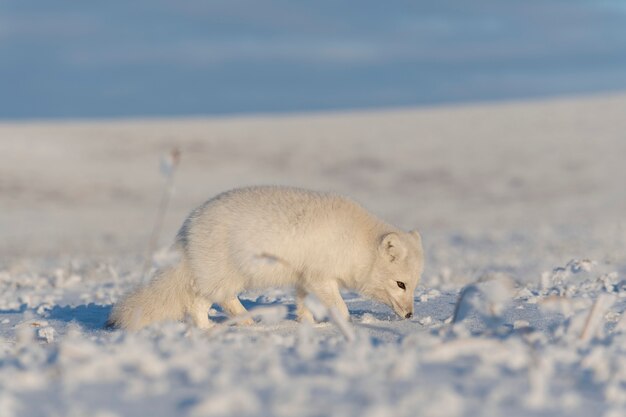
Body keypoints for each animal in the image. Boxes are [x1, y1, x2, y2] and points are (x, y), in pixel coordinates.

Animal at [108, 187, 424, 330]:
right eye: (400, 284)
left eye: (414, 285)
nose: (411, 315)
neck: (357, 242)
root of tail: (188, 229)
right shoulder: (321, 277)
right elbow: (341, 307)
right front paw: (345, 326)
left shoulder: (304, 278)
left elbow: (303, 304)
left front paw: (307, 324)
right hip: (230, 275)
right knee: (214, 301)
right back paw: (243, 323)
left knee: (199, 303)